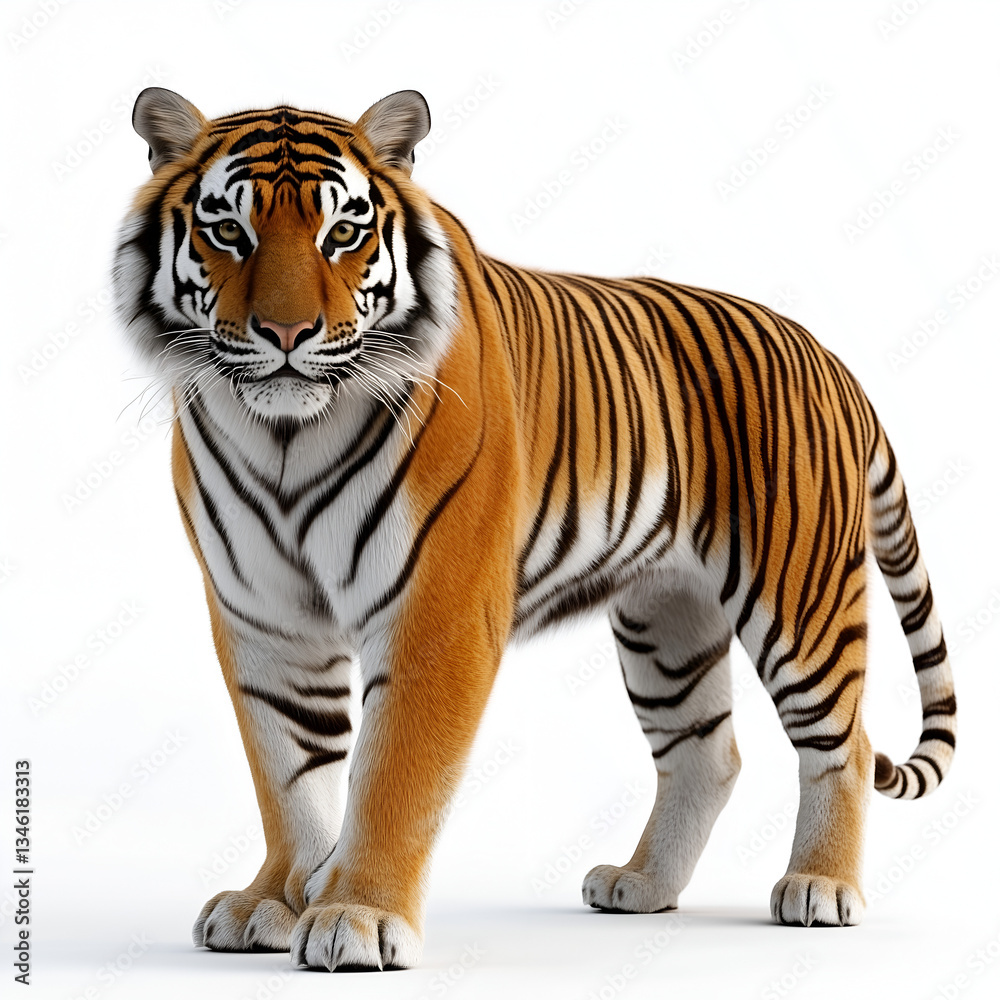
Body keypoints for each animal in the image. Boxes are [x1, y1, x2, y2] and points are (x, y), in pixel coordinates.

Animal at [112, 87, 957, 971]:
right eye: (227, 231)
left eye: (342, 233)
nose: (284, 336)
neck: (284, 437)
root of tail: (827, 355)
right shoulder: (262, 617)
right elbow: (286, 771)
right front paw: (274, 900)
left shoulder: (436, 613)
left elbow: (392, 778)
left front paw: (357, 916)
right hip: (668, 619)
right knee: (707, 754)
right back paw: (641, 886)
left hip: (801, 598)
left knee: (844, 745)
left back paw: (821, 888)